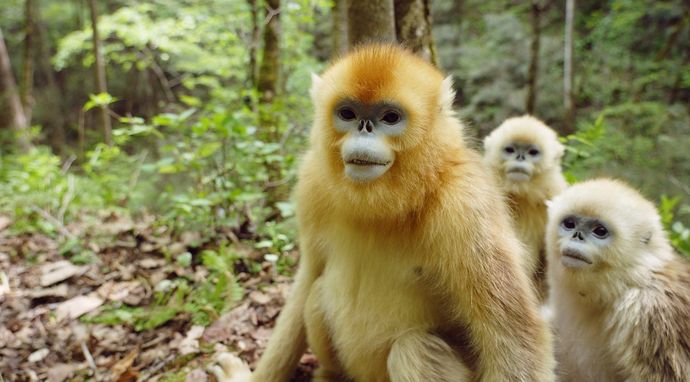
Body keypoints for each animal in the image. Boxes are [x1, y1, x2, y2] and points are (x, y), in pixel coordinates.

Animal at [212, 44, 552, 382]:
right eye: (348, 114)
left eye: (390, 117)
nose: (365, 129)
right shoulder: (311, 182)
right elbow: (308, 278)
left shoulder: (466, 202)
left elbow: (512, 339)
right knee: (317, 293)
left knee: (413, 350)